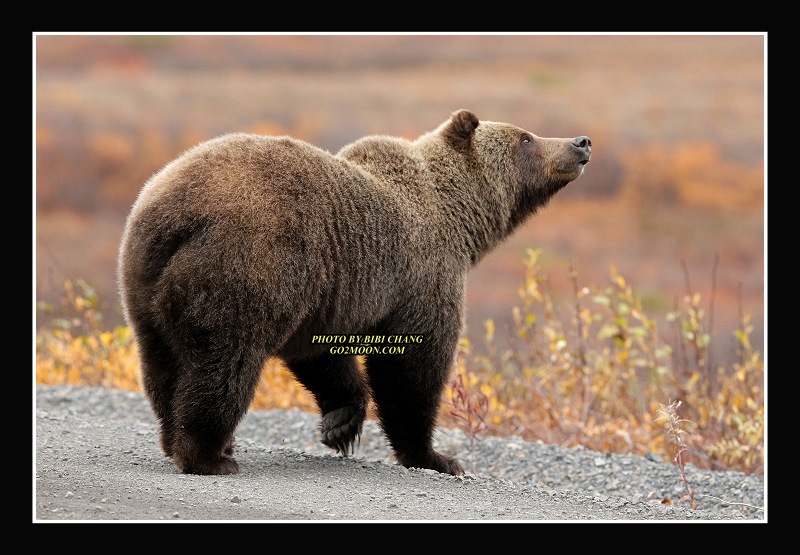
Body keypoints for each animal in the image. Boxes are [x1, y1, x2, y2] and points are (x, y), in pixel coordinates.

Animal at [117, 109, 592, 476]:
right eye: (525, 137)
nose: (581, 141)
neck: (460, 221)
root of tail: (173, 211)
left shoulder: (327, 291)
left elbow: (322, 353)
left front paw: (341, 423)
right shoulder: (423, 276)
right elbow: (411, 365)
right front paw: (435, 456)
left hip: (145, 283)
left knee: (162, 363)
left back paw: (177, 439)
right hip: (245, 266)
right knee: (223, 364)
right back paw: (210, 455)